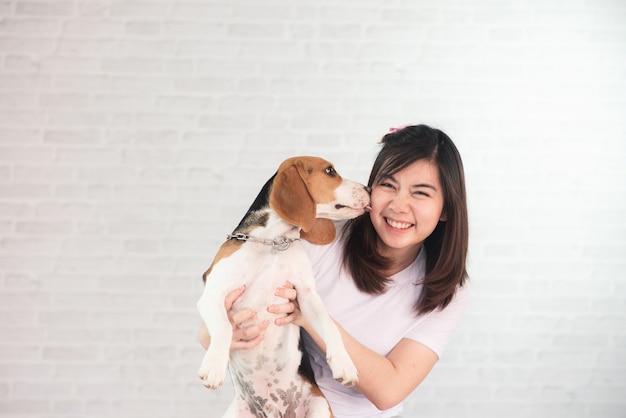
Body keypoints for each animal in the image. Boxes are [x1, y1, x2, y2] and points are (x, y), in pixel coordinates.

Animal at [197, 157, 368, 418]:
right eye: (330, 171)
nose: (369, 189)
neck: (274, 242)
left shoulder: (306, 295)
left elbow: (330, 327)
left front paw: (344, 363)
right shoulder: (213, 294)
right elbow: (225, 328)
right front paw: (214, 366)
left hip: (319, 408)